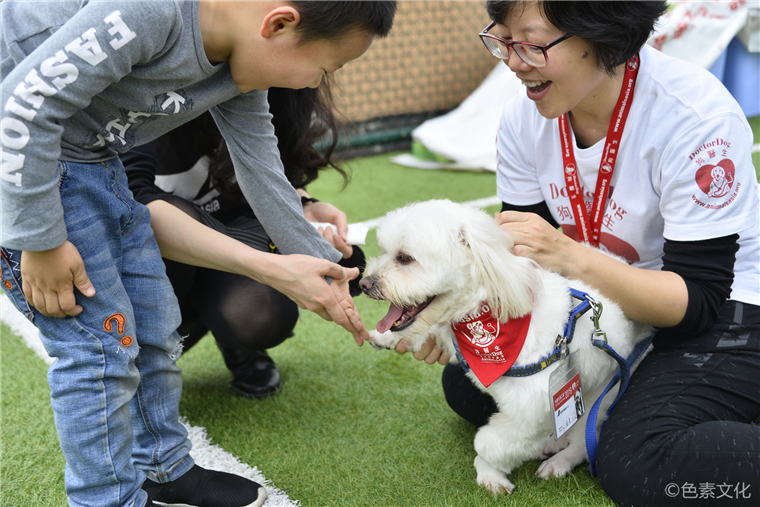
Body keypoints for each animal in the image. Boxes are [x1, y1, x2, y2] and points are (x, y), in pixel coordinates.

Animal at [358, 200, 652, 494]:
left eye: (405, 258)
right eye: (384, 252)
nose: (364, 283)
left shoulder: (529, 411)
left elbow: (489, 443)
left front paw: (490, 474)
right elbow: (432, 331)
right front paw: (384, 338)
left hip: (603, 390)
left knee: (584, 439)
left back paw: (559, 460)